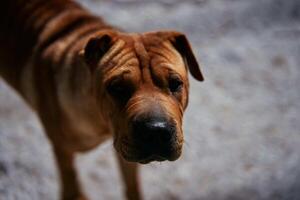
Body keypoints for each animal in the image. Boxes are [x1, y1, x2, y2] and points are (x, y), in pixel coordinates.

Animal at [0, 0, 204, 200]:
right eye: (117, 88)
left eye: (175, 83)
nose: (155, 131)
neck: (101, 121)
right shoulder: (63, 151)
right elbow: (72, 185)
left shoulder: (125, 152)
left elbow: (131, 185)